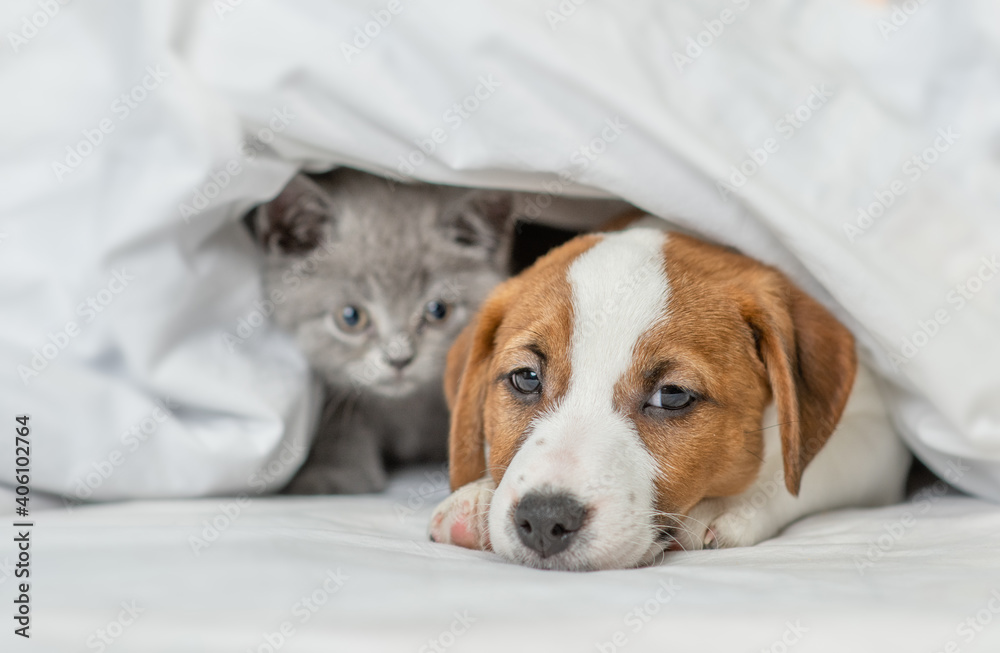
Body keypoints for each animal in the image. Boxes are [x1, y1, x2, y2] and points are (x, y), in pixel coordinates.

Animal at [426, 224, 912, 572]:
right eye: (526, 379)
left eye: (673, 395)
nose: (546, 519)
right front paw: (478, 497)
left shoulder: (877, 437)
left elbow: (797, 471)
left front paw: (726, 503)